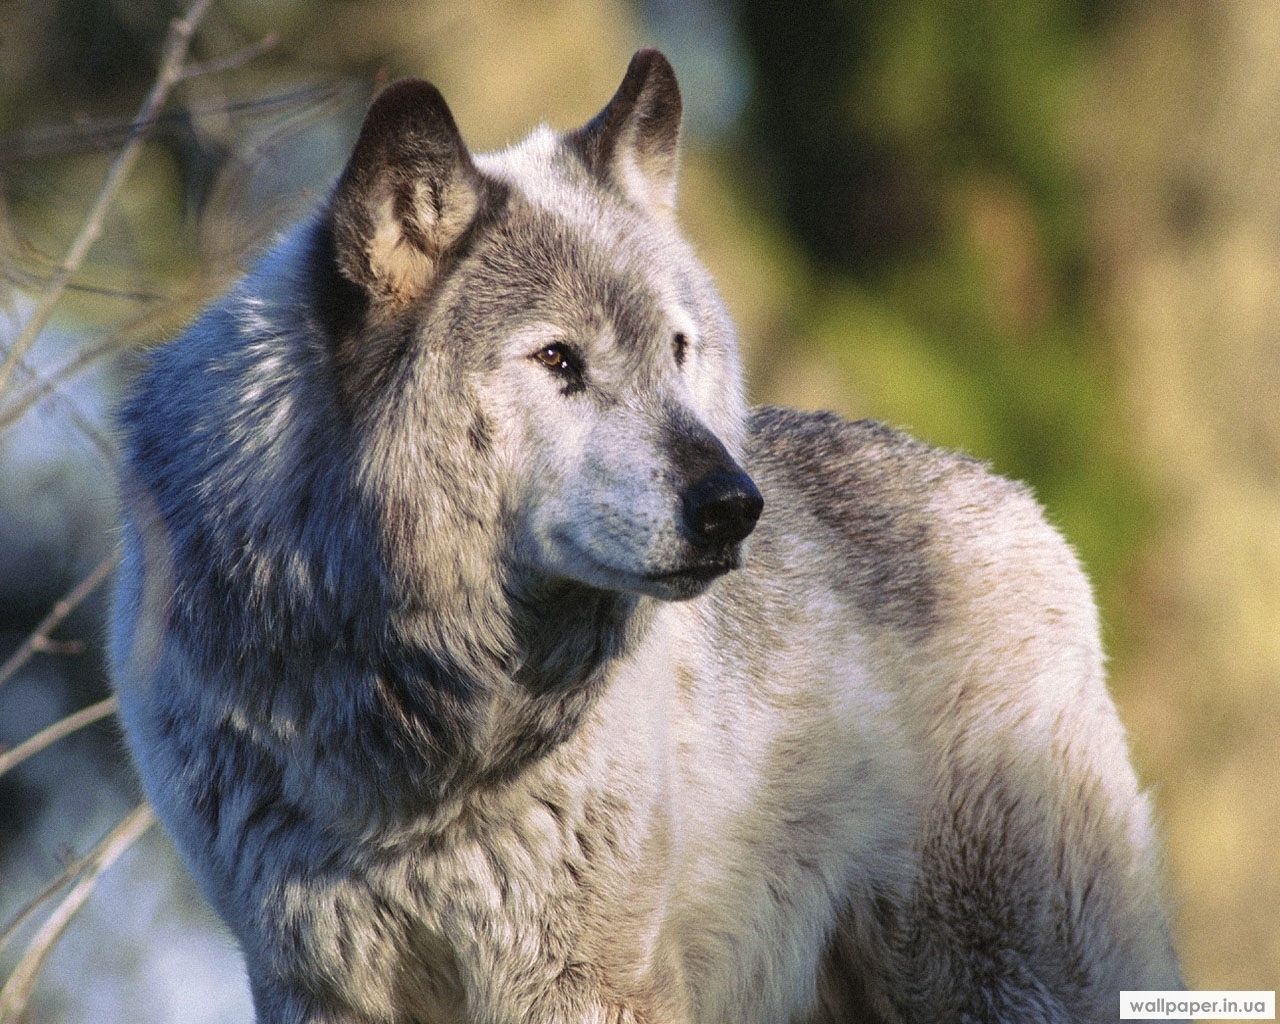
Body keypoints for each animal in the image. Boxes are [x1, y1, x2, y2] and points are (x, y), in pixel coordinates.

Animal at [115, 49, 1182, 1024]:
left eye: (677, 350)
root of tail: (1016, 499)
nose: (735, 506)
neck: (412, 717)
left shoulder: (580, 980)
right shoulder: (315, 983)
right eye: (557, 359)